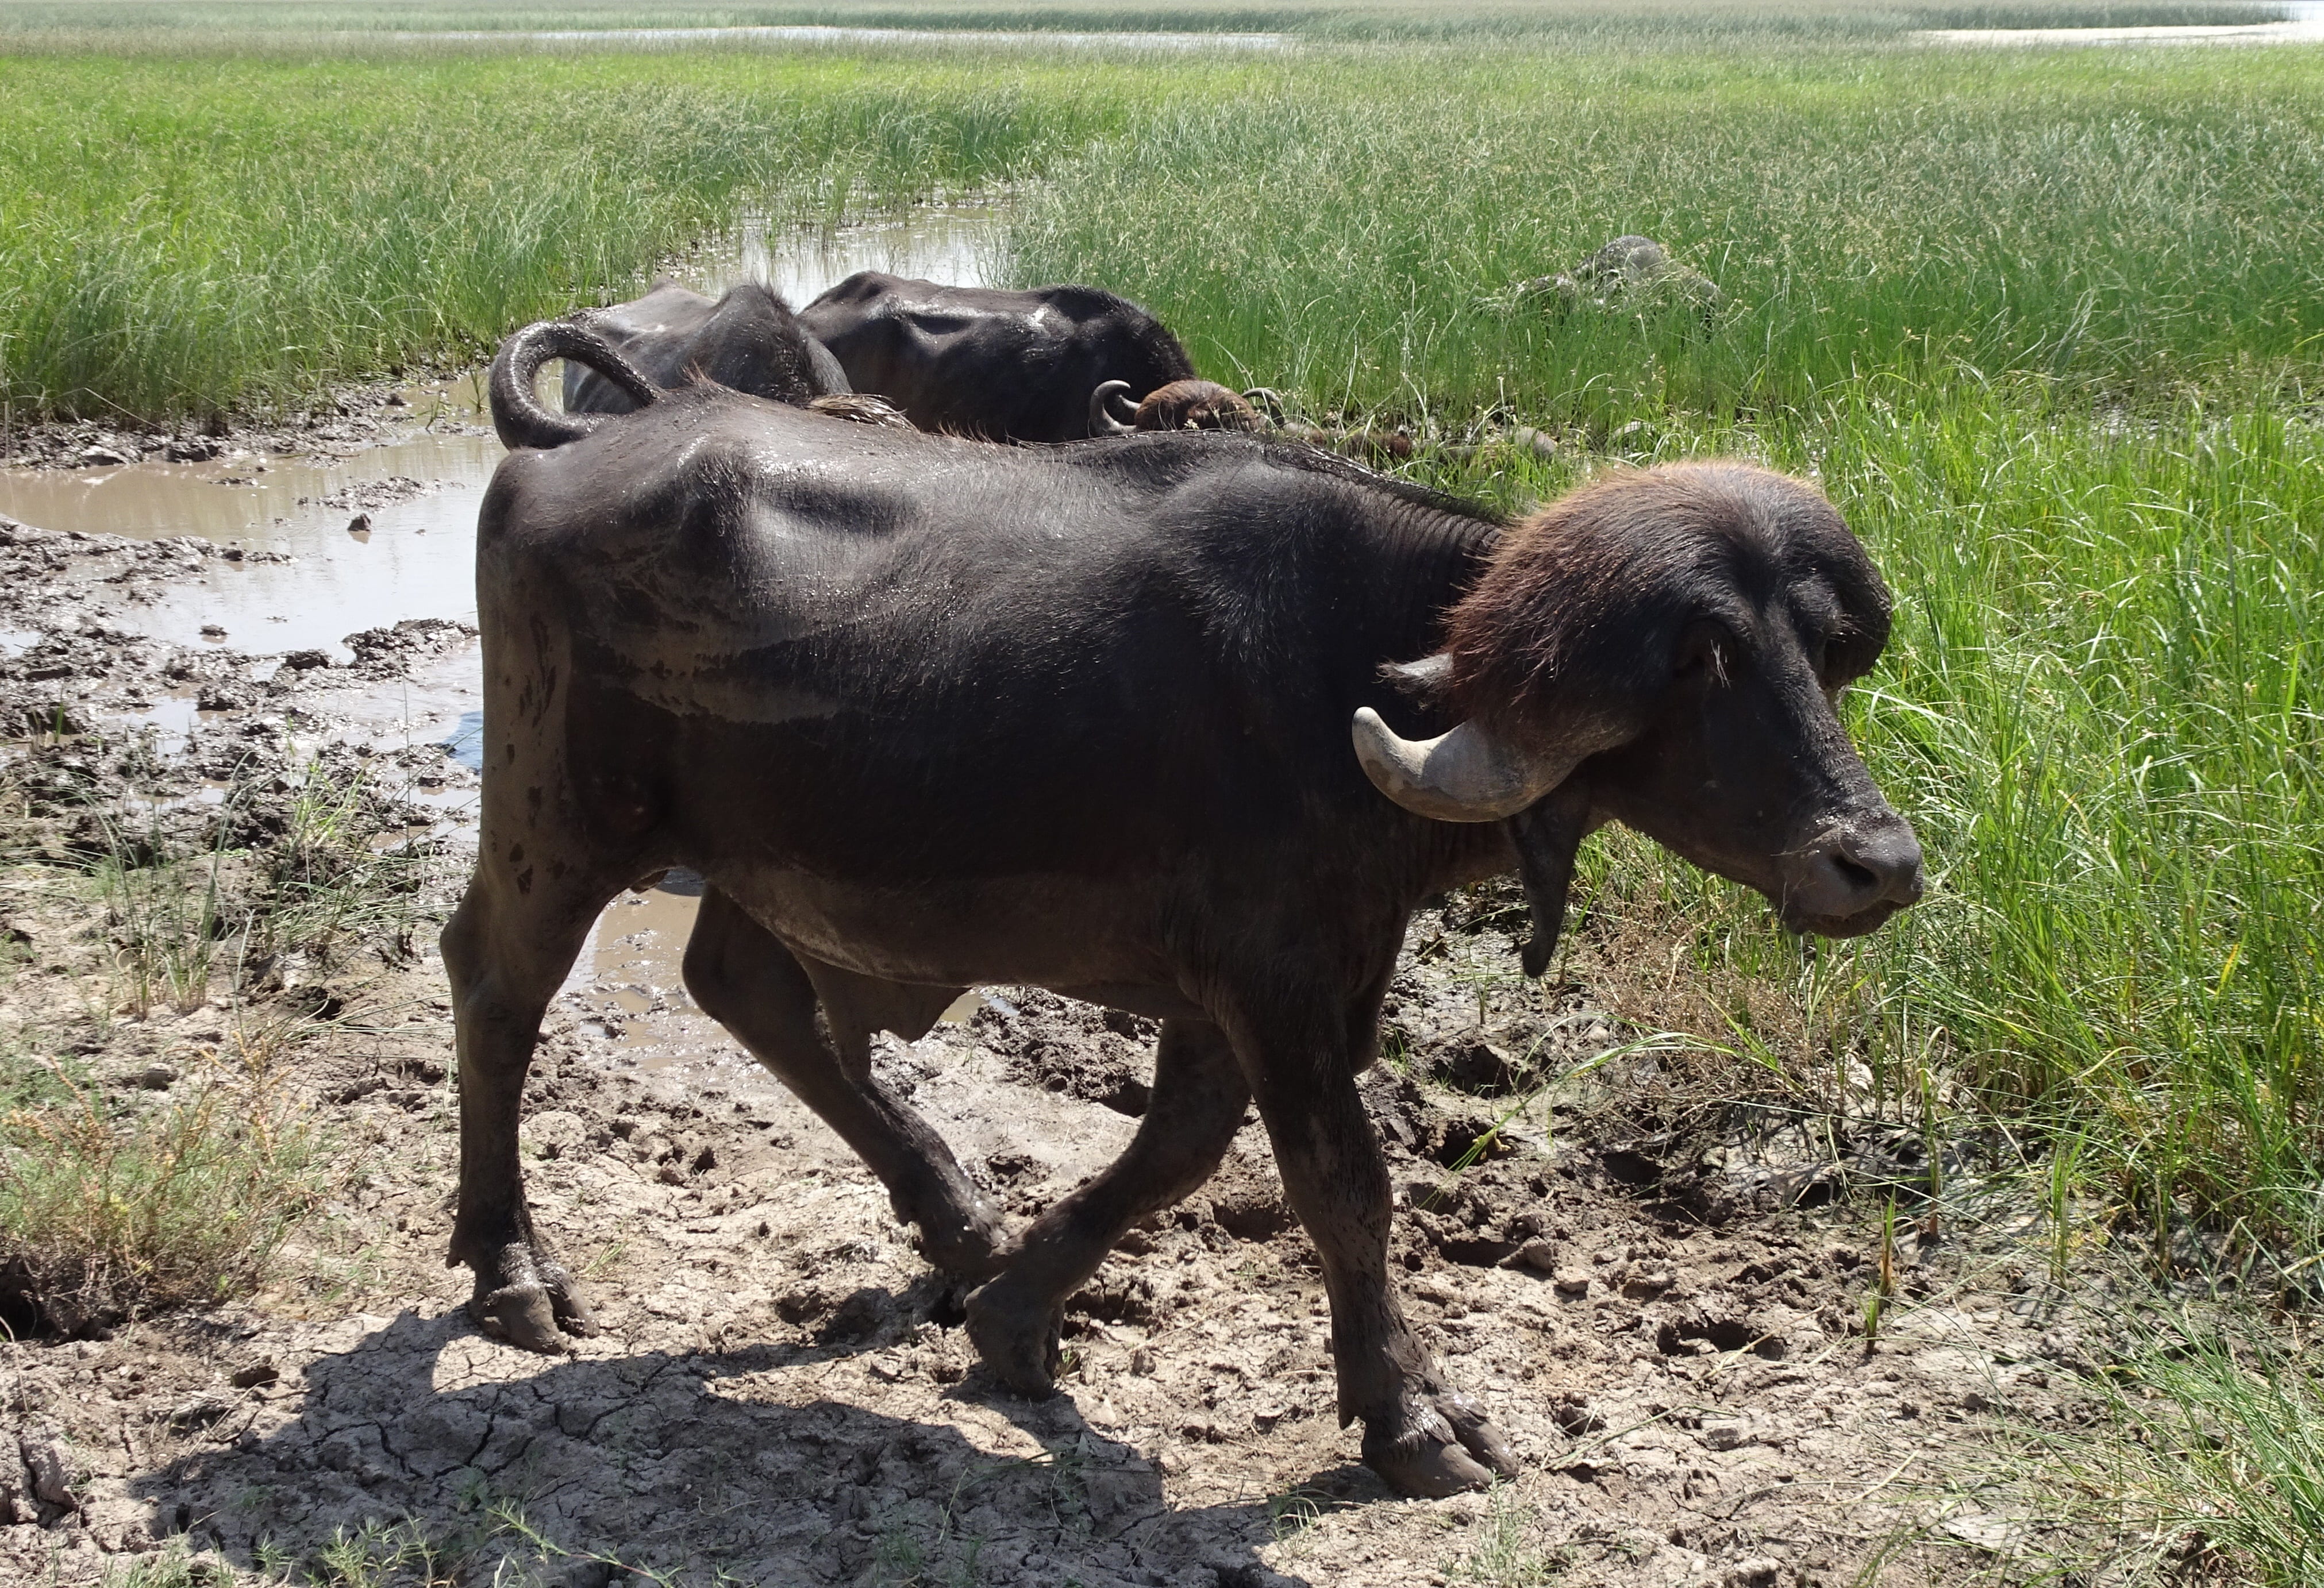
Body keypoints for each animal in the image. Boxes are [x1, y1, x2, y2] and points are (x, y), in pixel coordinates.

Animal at [452, 320, 1925, 1499]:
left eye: (1820, 650)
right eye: (1701, 659)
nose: (1878, 862)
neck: (1353, 669)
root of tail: (574, 445)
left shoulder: (1278, 979)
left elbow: (1178, 1148)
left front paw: (1014, 1313)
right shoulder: (1276, 982)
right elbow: (1340, 1183)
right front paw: (1410, 1414)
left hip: (769, 851)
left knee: (745, 988)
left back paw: (957, 1214)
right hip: (559, 817)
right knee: (497, 983)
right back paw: (510, 1266)